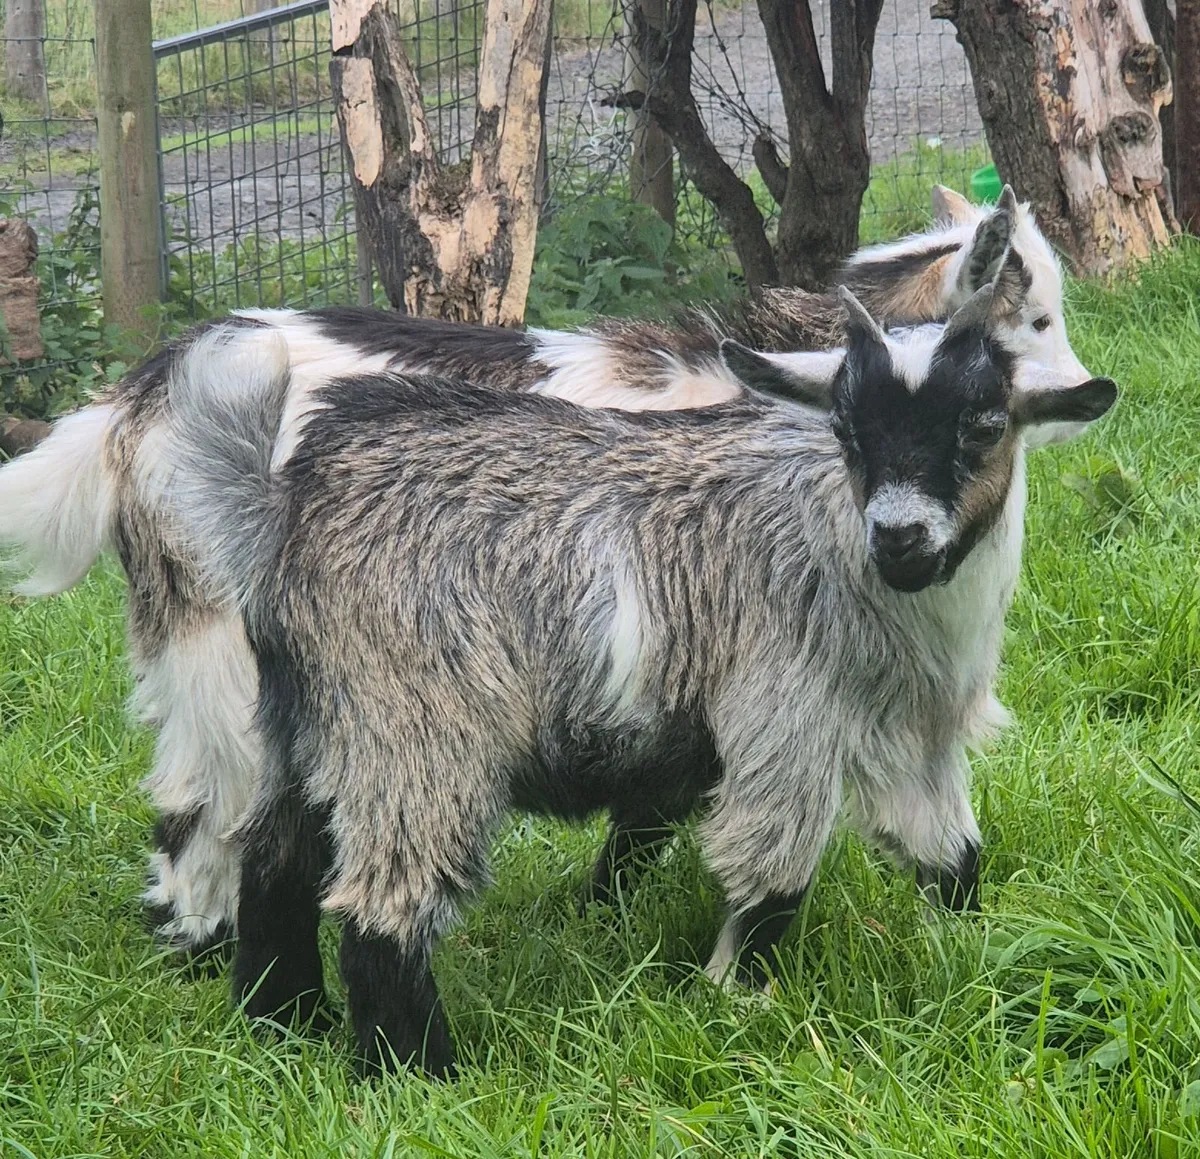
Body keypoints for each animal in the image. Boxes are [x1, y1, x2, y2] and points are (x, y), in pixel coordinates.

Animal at [0, 184, 1089, 960]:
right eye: (1030, 319)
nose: (1084, 393)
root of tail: (132, 403)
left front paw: (601, 913)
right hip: (219, 634)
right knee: (205, 795)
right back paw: (200, 945)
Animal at [159, 284, 1117, 1075]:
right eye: (847, 430)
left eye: (984, 423)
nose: (900, 537)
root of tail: (280, 506)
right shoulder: (786, 714)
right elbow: (773, 875)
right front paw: (731, 999)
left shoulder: (919, 738)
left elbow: (953, 856)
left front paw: (972, 954)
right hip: (416, 723)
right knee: (380, 905)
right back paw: (418, 1071)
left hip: (308, 716)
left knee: (276, 858)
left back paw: (282, 1023)